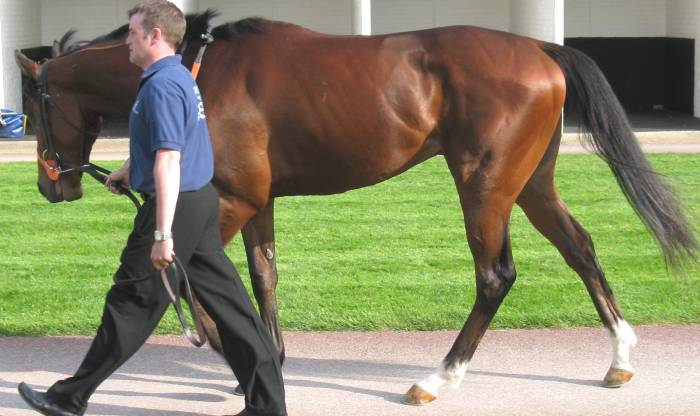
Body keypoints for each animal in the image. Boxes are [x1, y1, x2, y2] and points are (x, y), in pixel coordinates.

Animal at [15, 12, 697, 405]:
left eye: (34, 105)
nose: (53, 186)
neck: (198, 69)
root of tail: (540, 50)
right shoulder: (256, 200)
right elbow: (261, 276)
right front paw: (263, 358)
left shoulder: (229, 199)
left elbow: (183, 278)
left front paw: (223, 348)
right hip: (531, 183)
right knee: (580, 247)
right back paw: (619, 358)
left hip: (484, 185)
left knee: (495, 275)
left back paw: (436, 378)